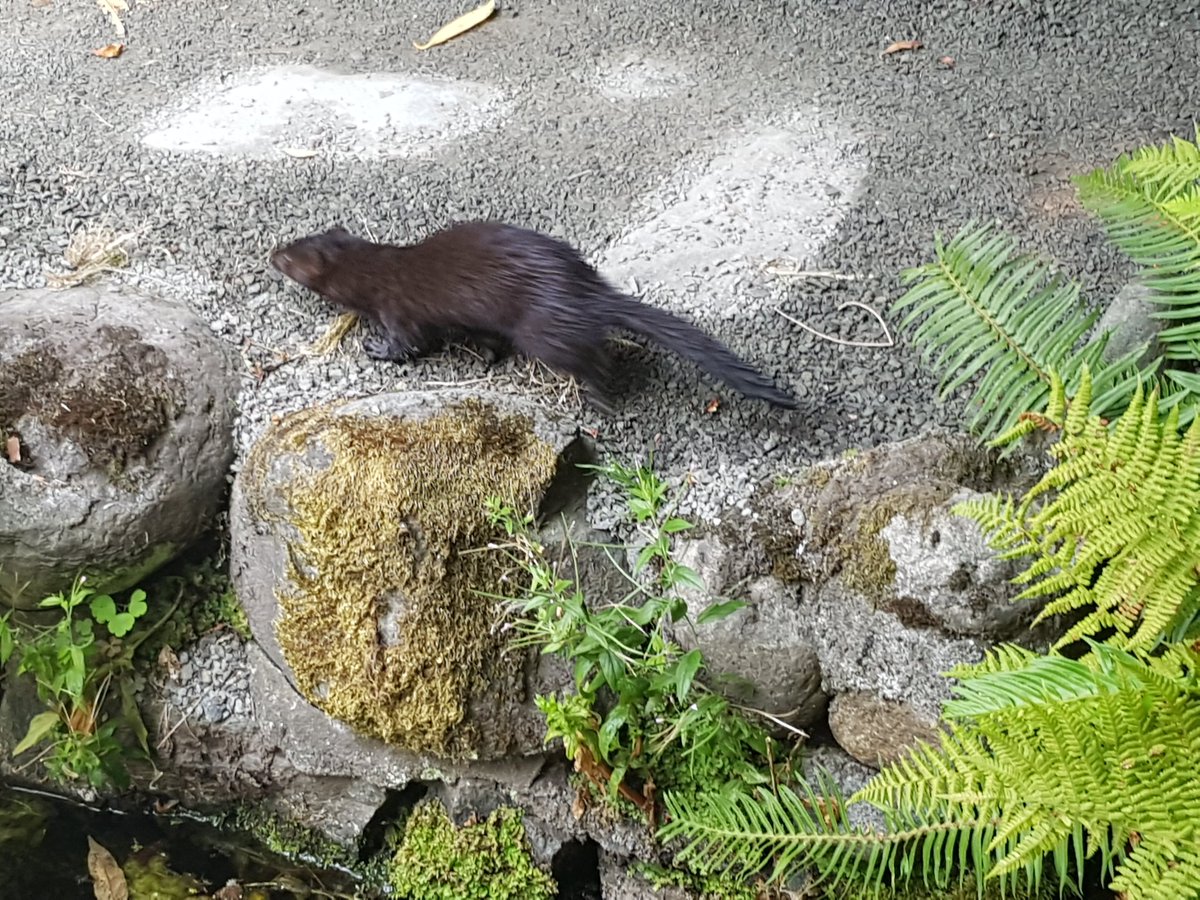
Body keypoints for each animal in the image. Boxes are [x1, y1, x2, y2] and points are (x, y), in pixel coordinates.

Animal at [269, 222, 798, 411]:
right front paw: (485, 355)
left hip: (542, 331)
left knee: (592, 358)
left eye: (289, 256)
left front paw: (375, 348)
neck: (384, 267)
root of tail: (586, 288)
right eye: (292, 241)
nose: (271, 253)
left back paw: (598, 397)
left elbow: (411, 343)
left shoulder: (400, 308)